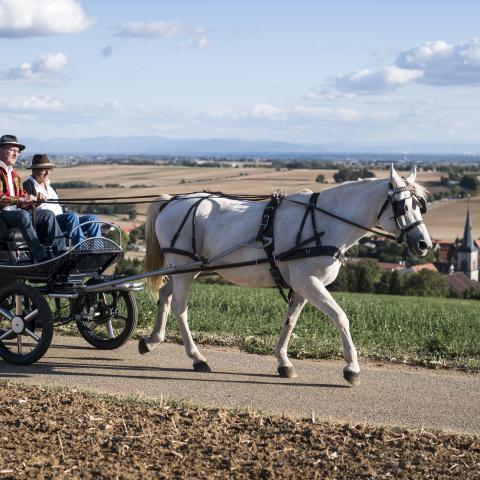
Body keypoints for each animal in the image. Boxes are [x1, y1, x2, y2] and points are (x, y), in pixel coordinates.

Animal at [138, 165, 432, 386]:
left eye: (421, 205)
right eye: (403, 206)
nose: (424, 244)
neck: (324, 223)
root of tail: (172, 201)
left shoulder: (301, 286)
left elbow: (290, 321)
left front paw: (283, 361)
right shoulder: (309, 282)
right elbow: (341, 317)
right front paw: (352, 368)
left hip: (190, 269)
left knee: (165, 295)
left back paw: (152, 340)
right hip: (183, 267)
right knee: (180, 308)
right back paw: (197, 357)